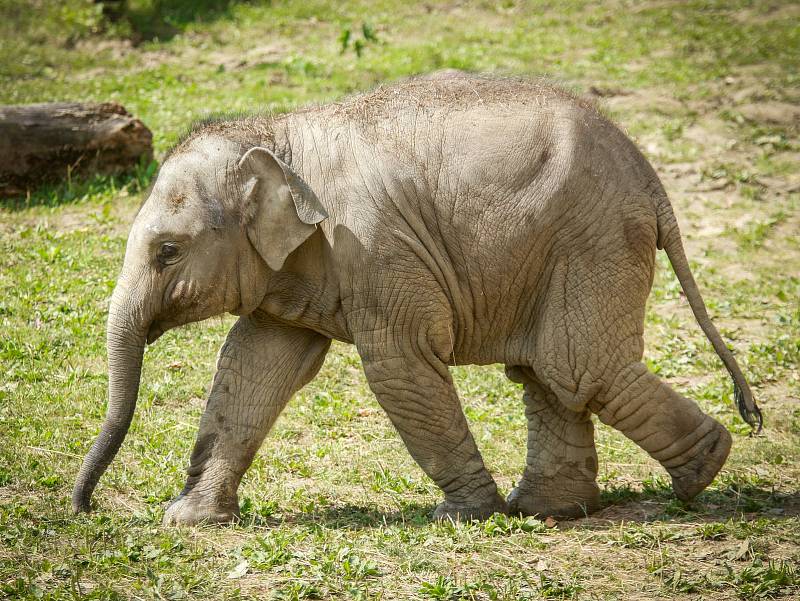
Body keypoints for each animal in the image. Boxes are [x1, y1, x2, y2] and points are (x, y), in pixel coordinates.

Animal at [72, 76, 760, 524]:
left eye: (167, 251)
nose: (85, 509)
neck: (279, 136)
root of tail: (651, 176)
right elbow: (256, 365)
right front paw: (190, 520)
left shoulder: (377, 246)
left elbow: (399, 366)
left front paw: (468, 515)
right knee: (547, 371)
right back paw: (552, 510)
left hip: (593, 239)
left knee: (578, 366)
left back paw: (701, 475)